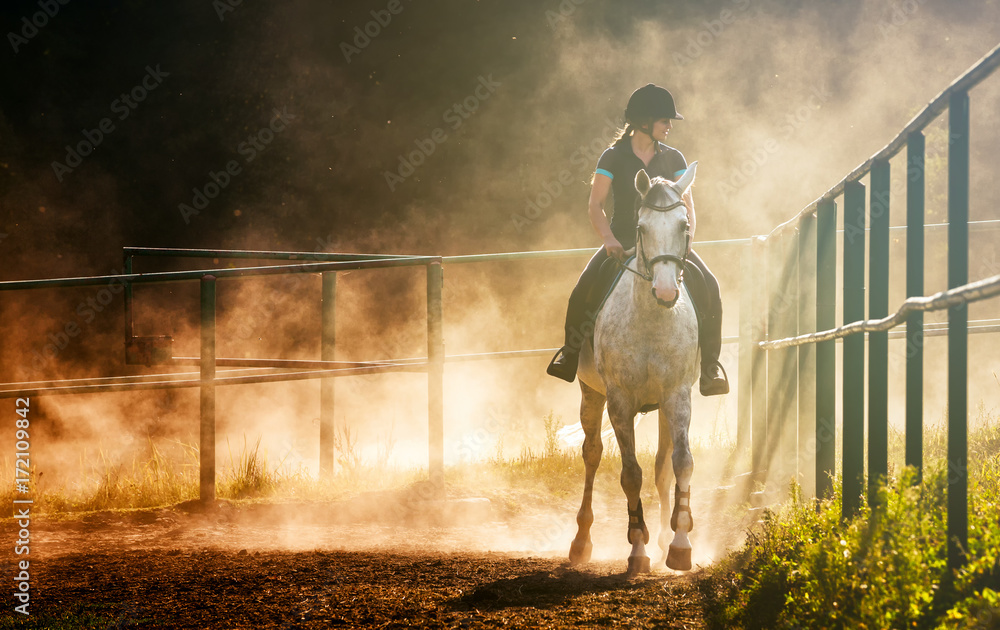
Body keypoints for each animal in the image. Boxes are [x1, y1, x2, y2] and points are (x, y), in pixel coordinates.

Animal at [572, 164, 704, 576]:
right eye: (641, 227)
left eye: (684, 225)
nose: (665, 292)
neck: (651, 321)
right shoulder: (619, 400)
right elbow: (630, 474)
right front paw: (638, 549)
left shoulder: (677, 395)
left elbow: (680, 463)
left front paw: (679, 543)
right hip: (591, 395)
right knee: (592, 454)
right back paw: (581, 542)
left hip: (662, 405)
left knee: (662, 465)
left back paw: (664, 536)